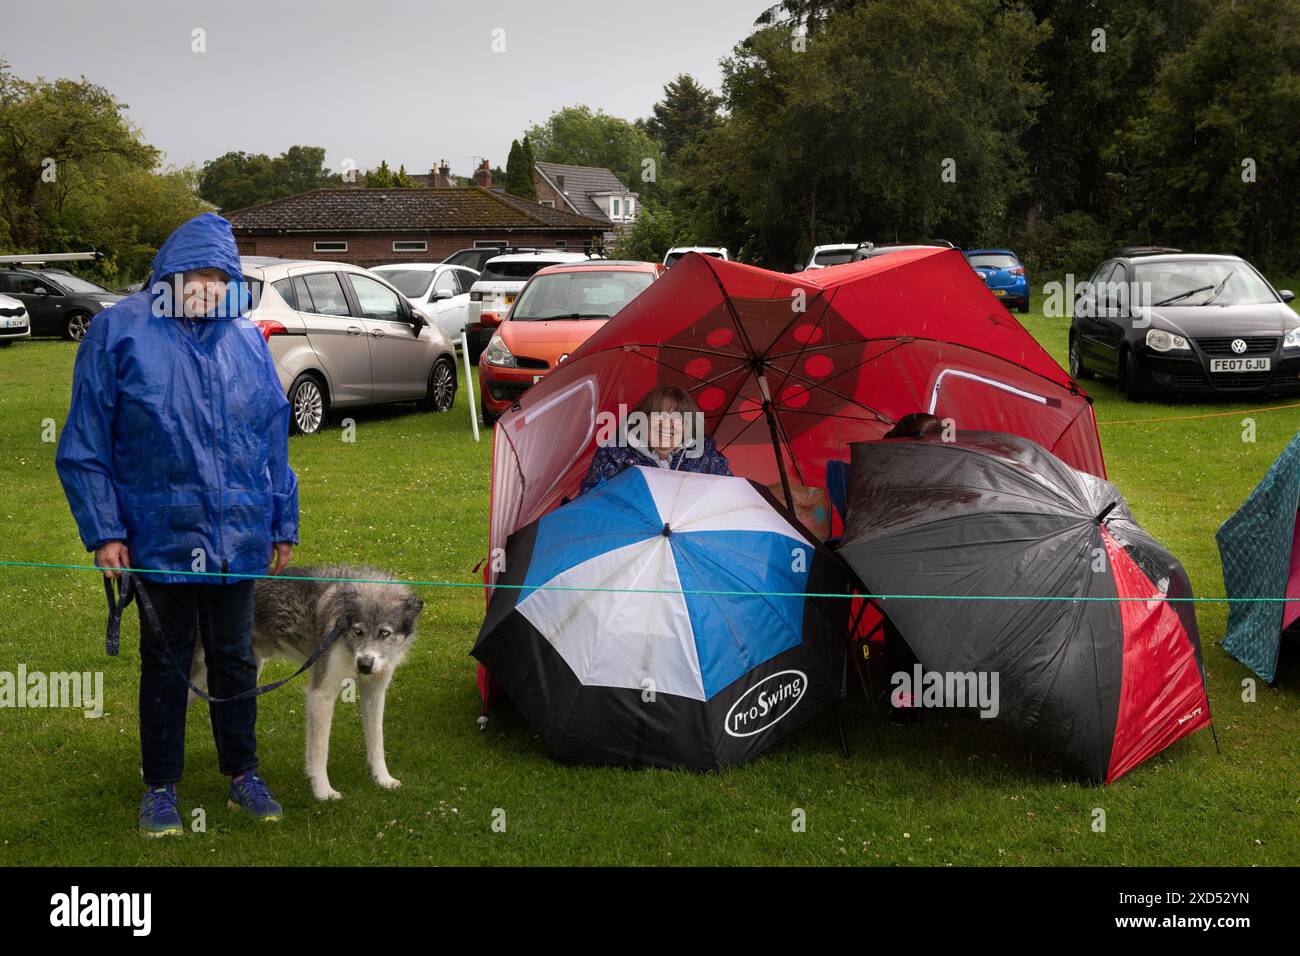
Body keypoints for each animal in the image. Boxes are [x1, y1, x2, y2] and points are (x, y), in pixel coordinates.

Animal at [189, 567, 423, 801]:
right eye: (358, 631)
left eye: (384, 633)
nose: (364, 665)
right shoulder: (321, 695)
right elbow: (320, 752)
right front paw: (323, 791)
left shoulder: (374, 693)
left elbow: (377, 743)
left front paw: (383, 779)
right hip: (197, 677)